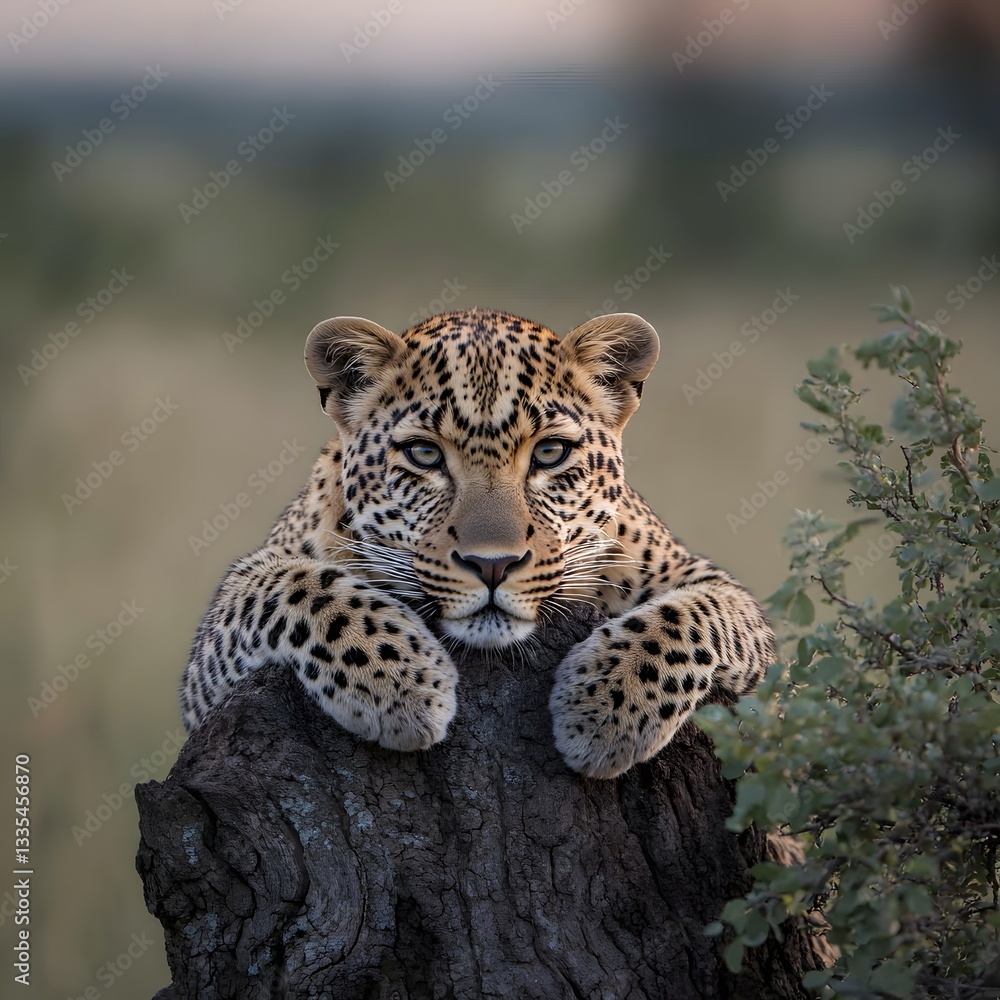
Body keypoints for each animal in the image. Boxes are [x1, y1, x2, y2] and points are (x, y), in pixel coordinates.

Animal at [181, 308, 775, 779]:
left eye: (551, 452)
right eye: (423, 455)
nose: (493, 565)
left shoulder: (723, 603)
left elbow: (696, 615)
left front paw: (606, 710)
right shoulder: (205, 678)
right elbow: (299, 585)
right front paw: (403, 685)